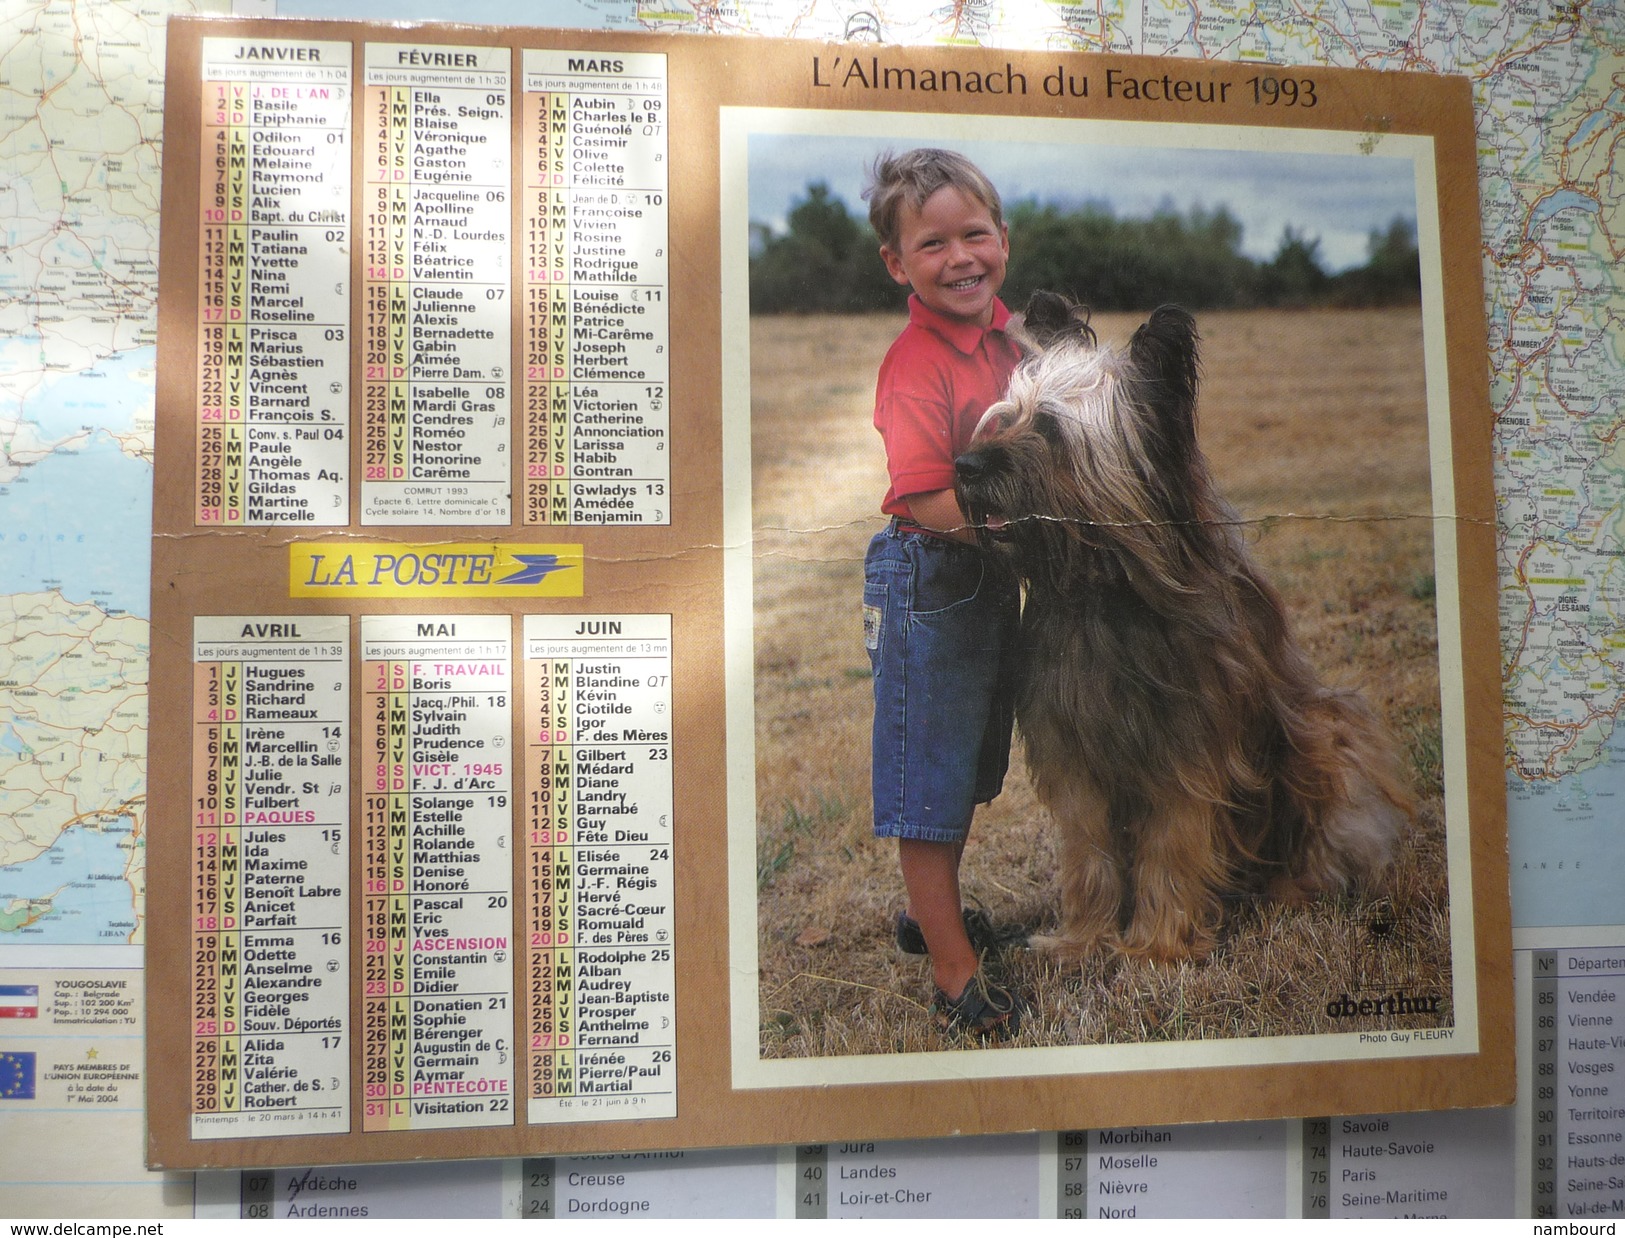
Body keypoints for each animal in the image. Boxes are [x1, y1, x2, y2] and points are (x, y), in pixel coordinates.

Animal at [949, 294, 1410, 961]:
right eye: (1006, 417)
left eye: (1051, 431)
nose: (964, 465)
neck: (1102, 593)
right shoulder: (1073, 752)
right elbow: (1088, 849)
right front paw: (1082, 940)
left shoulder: (1190, 750)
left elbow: (1173, 842)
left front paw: (1157, 947)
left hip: (1327, 734)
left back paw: (1296, 889)